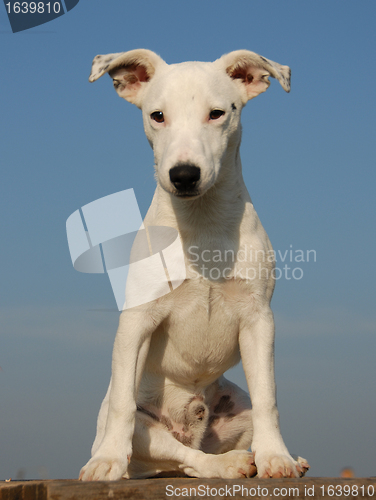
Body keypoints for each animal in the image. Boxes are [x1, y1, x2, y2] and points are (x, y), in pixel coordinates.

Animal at [79, 47, 308, 480]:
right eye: (157, 115)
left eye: (217, 113)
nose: (183, 175)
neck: (201, 224)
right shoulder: (137, 321)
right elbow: (121, 403)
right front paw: (106, 461)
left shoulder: (258, 319)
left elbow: (269, 397)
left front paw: (277, 457)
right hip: (145, 431)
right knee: (184, 456)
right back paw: (227, 463)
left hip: (237, 407)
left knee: (198, 456)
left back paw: (256, 459)